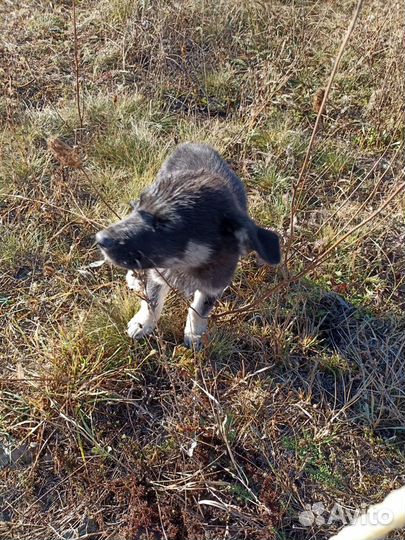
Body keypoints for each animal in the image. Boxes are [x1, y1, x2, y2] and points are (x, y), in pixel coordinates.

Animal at [96, 141, 280, 348]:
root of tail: (192, 144)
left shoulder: (215, 284)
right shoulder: (159, 274)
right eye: (140, 207)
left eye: (167, 225)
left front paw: (194, 333)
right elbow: (152, 301)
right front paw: (142, 324)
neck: (187, 264)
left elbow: (199, 309)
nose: (100, 239)